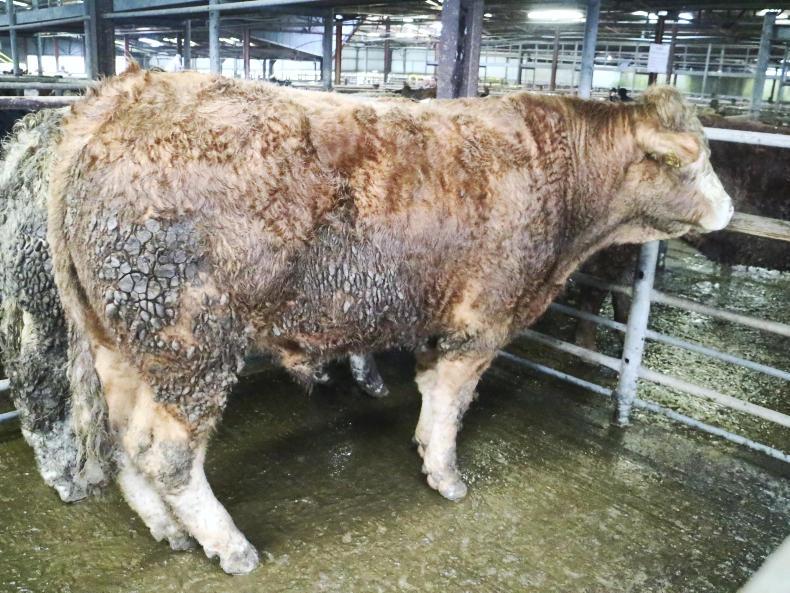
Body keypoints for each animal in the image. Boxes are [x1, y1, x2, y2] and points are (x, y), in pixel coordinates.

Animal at [47, 65, 732, 573]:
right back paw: (229, 545)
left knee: (123, 441)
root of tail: (126, 93)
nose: (729, 210)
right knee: (166, 453)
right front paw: (446, 475)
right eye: (692, 159)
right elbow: (453, 401)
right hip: (188, 340)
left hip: (121, 341)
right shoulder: (485, 316)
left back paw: (168, 529)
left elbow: (431, 390)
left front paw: (426, 449)